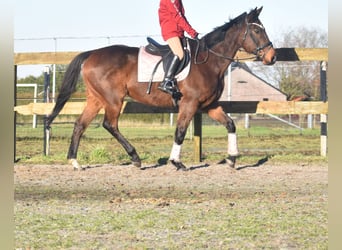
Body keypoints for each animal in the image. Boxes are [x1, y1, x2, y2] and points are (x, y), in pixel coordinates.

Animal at [46, 7, 276, 170]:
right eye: (257, 30)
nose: (272, 57)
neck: (208, 61)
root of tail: (92, 53)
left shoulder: (209, 105)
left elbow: (230, 124)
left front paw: (232, 159)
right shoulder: (189, 104)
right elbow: (180, 132)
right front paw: (176, 162)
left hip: (96, 99)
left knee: (80, 125)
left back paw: (74, 162)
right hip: (113, 100)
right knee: (109, 125)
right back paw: (135, 158)